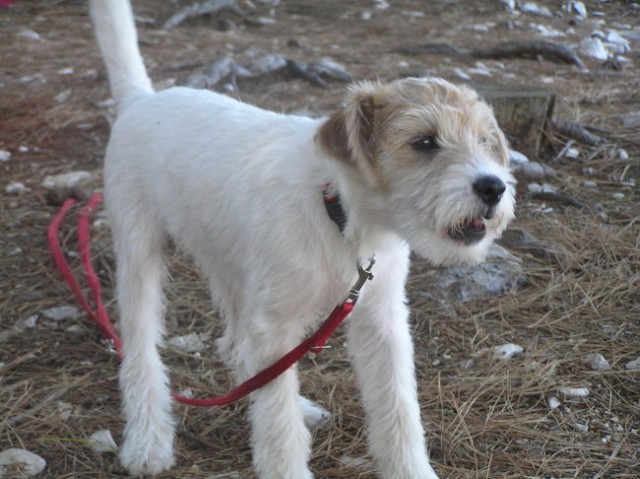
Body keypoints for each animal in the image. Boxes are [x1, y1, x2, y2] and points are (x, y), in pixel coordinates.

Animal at [89, 0, 516, 479]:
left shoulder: (381, 322)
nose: (493, 188)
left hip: (233, 268)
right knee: (140, 349)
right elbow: (279, 427)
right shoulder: (276, 329)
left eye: (485, 140)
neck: (340, 214)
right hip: (139, 254)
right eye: (424, 141)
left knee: (237, 346)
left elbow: (398, 410)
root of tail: (143, 100)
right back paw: (148, 440)